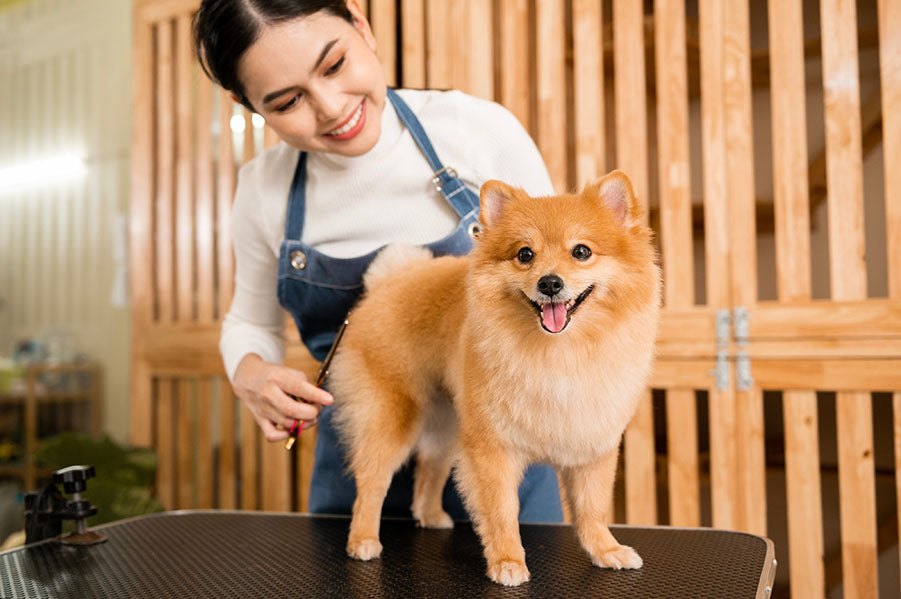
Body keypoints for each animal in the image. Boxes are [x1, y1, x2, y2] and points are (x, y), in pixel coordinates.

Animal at [330, 169, 660, 584]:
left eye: (582, 252)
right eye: (525, 254)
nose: (549, 282)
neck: (560, 352)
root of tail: (389, 281)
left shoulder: (592, 444)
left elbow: (592, 508)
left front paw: (606, 550)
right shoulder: (492, 447)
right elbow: (502, 510)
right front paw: (507, 561)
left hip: (448, 421)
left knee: (430, 467)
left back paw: (430, 515)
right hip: (392, 416)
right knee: (371, 482)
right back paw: (363, 540)